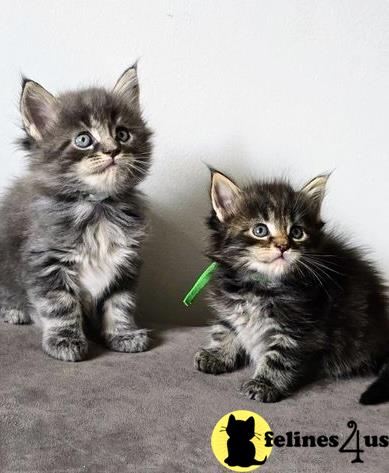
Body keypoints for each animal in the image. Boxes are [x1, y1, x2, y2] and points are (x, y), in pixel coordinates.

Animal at [0, 65, 152, 362]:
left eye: (122, 134)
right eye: (84, 139)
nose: (113, 150)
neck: (98, 208)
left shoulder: (125, 262)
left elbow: (120, 303)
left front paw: (123, 334)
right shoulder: (46, 261)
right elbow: (60, 305)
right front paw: (65, 339)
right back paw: (13, 310)